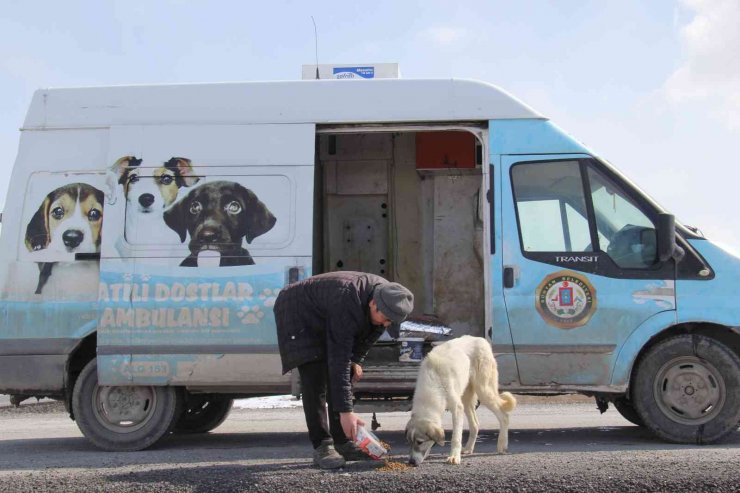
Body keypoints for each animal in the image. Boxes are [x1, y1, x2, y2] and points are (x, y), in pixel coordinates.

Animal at [404, 334, 516, 466]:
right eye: (409, 442)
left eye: (420, 442)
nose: (411, 462)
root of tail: (480, 339)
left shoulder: (457, 409)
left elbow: (456, 437)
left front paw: (454, 457)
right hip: (466, 400)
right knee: (475, 425)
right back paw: (468, 449)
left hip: (483, 391)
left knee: (504, 416)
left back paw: (502, 445)